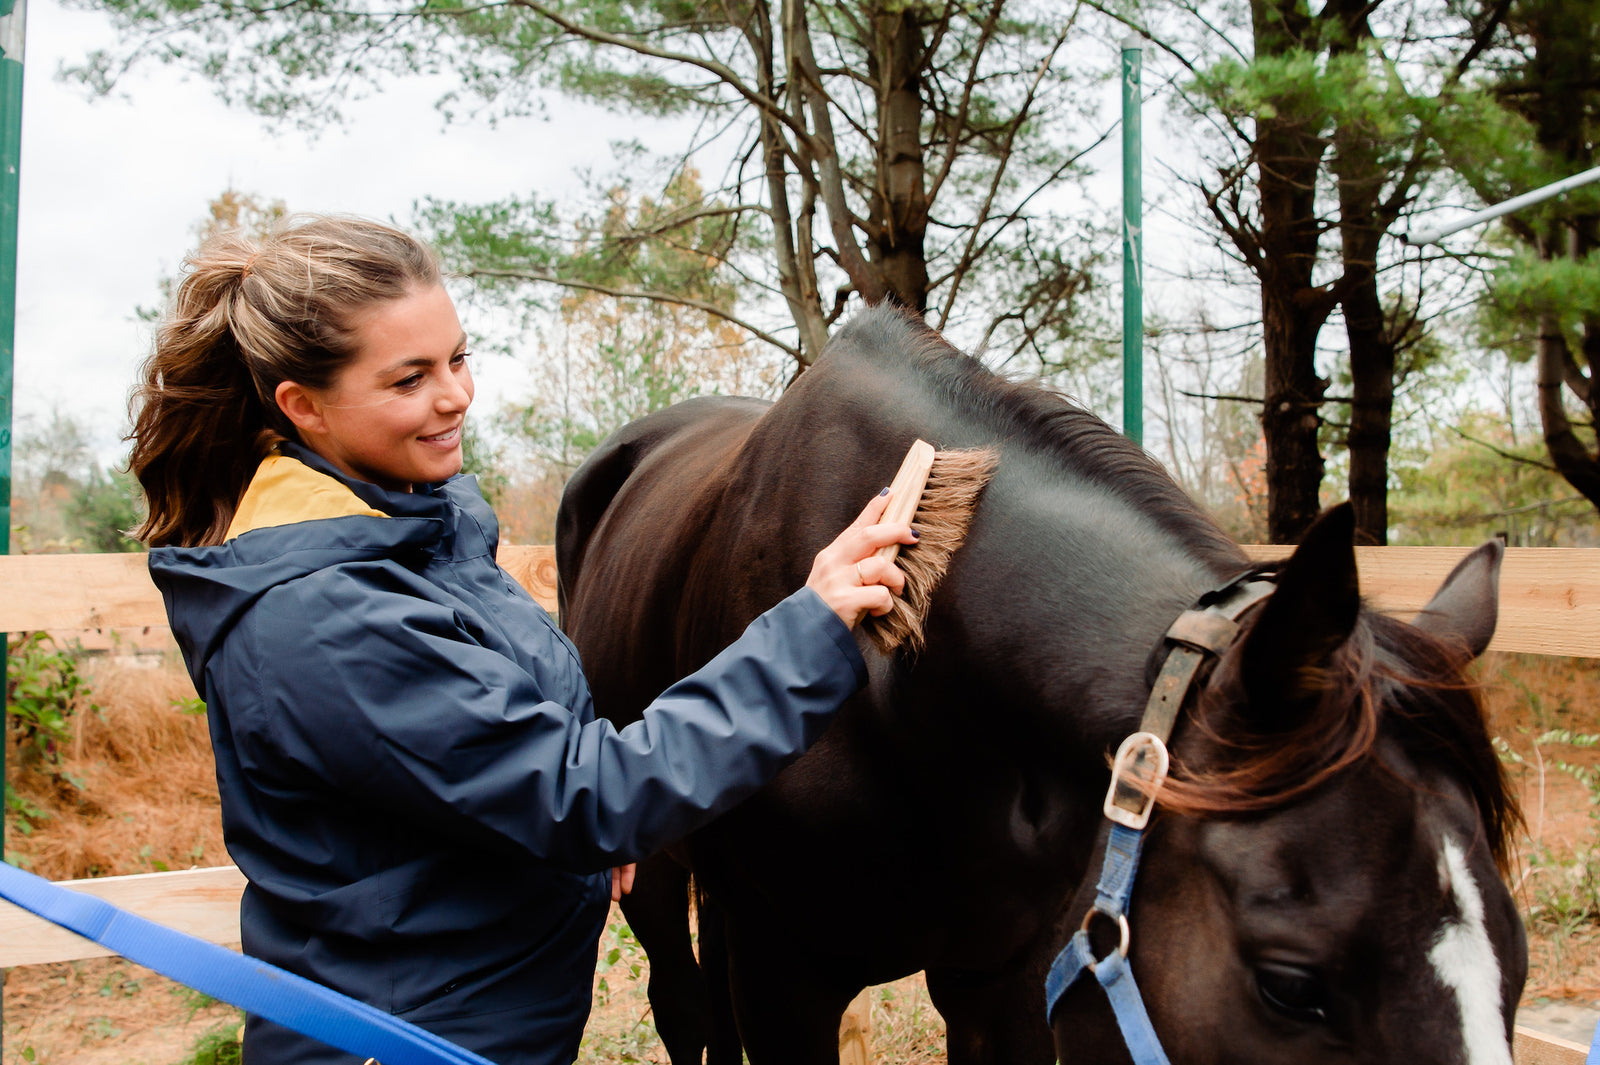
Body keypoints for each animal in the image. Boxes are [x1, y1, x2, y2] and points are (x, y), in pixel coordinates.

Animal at [560, 302, 1523, 1061]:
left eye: (1514, 962)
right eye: (1290, 984)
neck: (913, 708)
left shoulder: (1005, 981)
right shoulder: (785, 983)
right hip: (653, 876)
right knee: (685, 1009)